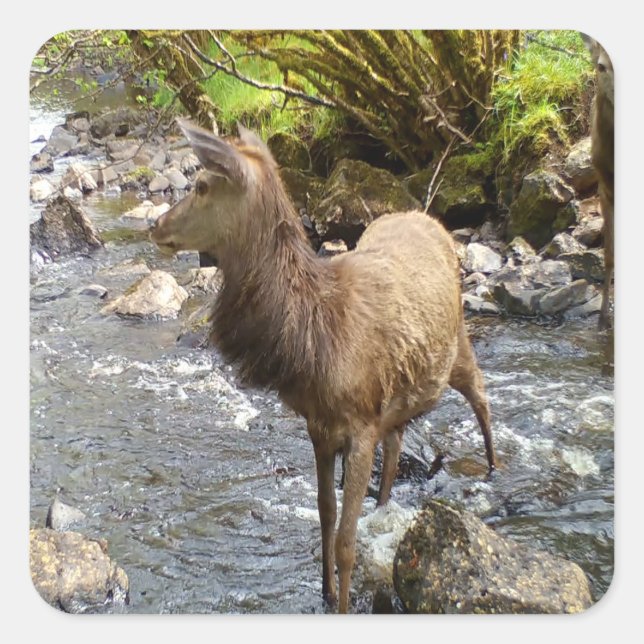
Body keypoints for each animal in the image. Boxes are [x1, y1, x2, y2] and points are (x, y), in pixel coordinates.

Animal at [150, 119, 497, 613]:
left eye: (200, 185)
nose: (155, 226)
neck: (314, 342)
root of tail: (429, 218)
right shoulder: (319, 425)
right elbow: (324, 514)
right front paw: (325, 590)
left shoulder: (361, 424)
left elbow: (347, 541)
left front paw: (344, 601)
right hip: (400, 394)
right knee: (397, 444)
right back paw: (386, 502)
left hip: (459, 345)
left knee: (481, 396)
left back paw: (493, 469)